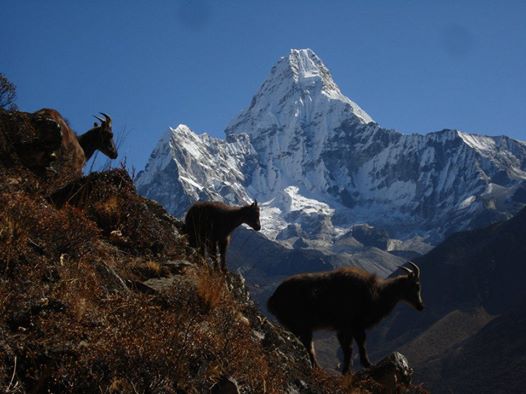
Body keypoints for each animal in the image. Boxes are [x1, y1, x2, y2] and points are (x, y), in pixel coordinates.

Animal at [268, 262, 424, 372]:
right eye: (416, 285)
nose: (420, 306)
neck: (374, 294)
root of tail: (273, 300)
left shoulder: (348, 328)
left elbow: (351, 346)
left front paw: (354, 367)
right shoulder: (350, 326)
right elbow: (354, 346)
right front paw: (359, 366)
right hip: (301, 326)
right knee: (308, 346)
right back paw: (317, 368)